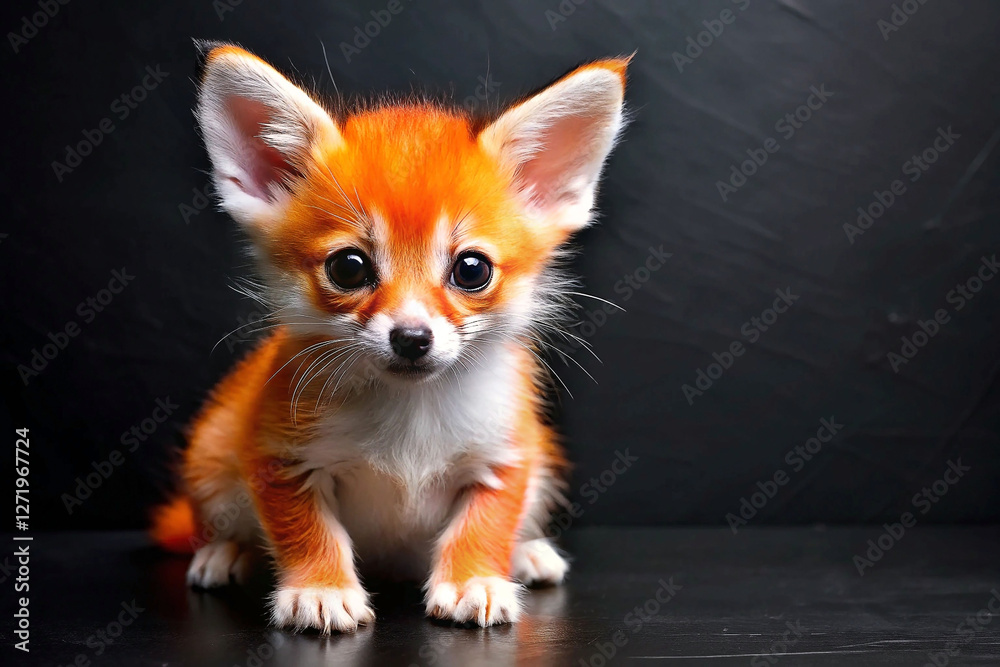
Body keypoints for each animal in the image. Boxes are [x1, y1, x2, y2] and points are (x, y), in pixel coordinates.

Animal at [151, 41, 629, 634]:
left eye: (472, 269)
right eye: (349, 267)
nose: (411, 337)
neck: (410, 410)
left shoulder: (508, 452)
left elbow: (485, 521)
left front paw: (474, 579)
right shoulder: (277, 454)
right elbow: (307, 529)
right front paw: (320, 589)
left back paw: (528, 552)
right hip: (213, 456)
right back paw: (224, 553)